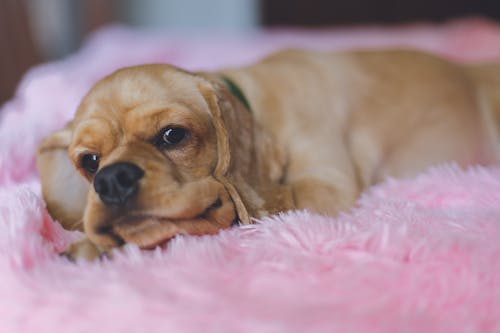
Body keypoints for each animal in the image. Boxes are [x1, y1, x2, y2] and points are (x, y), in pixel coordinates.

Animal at [37, 48, 500, 260]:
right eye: (89, 161)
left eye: (172, 135)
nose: (111, 180)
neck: (256, 104)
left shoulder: (323, 188)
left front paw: (92, 249)